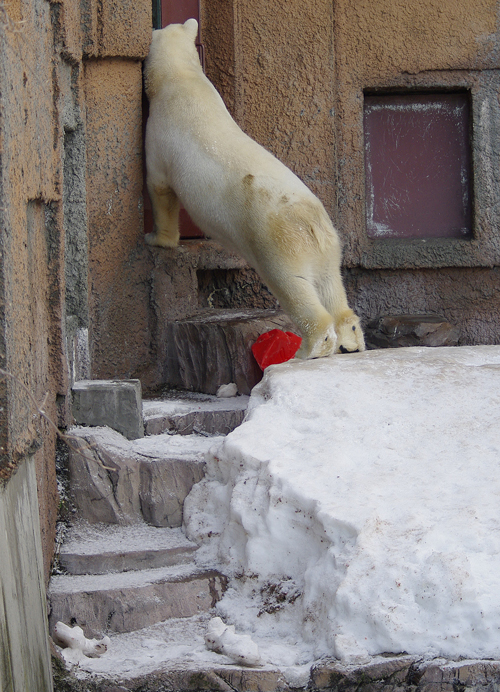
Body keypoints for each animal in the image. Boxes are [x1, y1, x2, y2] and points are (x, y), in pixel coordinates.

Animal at [143, 19, 366, 360]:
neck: (181, 78)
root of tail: (313, 224)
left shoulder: (160, 134)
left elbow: (160, 189)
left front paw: (157, 239)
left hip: (279, 244)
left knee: (295, 287)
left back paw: (307, 349)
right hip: (328, 249)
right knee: (331, 286)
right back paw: (351, 339)